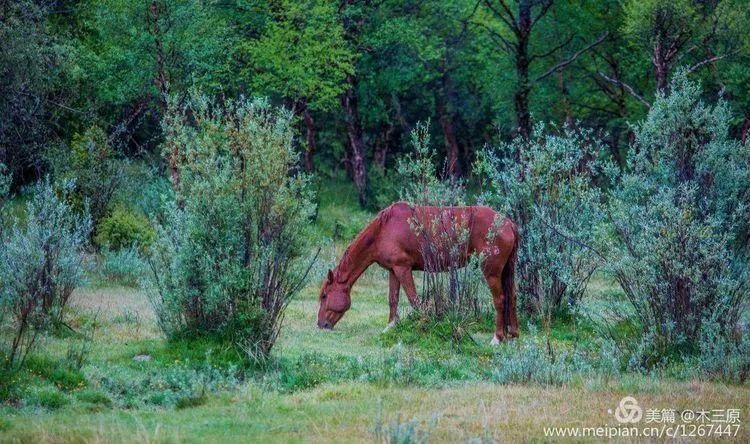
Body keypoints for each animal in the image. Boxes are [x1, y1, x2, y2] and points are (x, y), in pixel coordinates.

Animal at [314, 201, 520, 344]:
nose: (321, 325)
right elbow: (393, 299)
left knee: (500, 299)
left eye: (324, 296)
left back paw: (497, 338)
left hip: (491, 272)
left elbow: (414, 300)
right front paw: (390, 327)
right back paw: (513, 334)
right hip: (506, 272)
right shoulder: (393, 270)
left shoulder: (403, 269)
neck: (383, 229)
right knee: (512, 297)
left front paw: (423, 324)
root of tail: (508, 223)